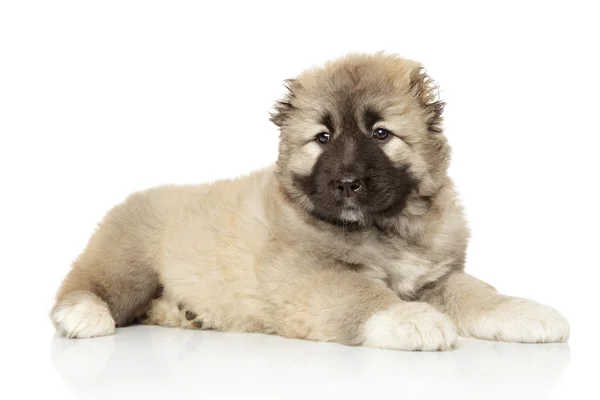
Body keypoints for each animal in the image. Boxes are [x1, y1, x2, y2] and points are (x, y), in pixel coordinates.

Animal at [50, 53, 568, 350]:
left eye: (381, 134)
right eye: (323, 137)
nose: (347, 182)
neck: (385, 228)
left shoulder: (437, 275)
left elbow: (479, 292)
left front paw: (524, 312)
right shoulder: (307, 276)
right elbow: (363, 294)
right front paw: (411, 319)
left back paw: (188, 314)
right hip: (128, 261)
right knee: (85, 285)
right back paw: (82, 315)